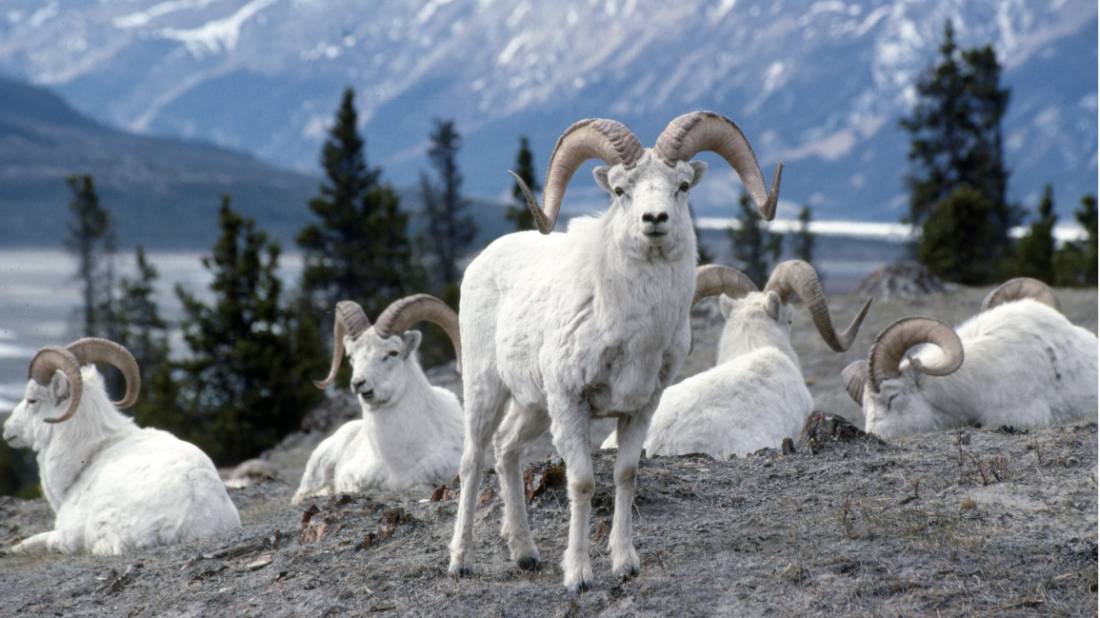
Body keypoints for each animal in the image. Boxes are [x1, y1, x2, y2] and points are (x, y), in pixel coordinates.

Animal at [449, 111, 782, 591]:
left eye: (682, 185)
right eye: (621, 190)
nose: (654, 218)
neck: (633, 328)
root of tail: (482, 260)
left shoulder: (639, 408)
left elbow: (626, 476)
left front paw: (625, 564)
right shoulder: (572, 404)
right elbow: (583, 484)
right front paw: (578, 575)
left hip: (534, 407)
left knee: (507, 450)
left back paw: (525, 554)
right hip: (486, 390)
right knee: (473, 460)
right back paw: (460, 560)